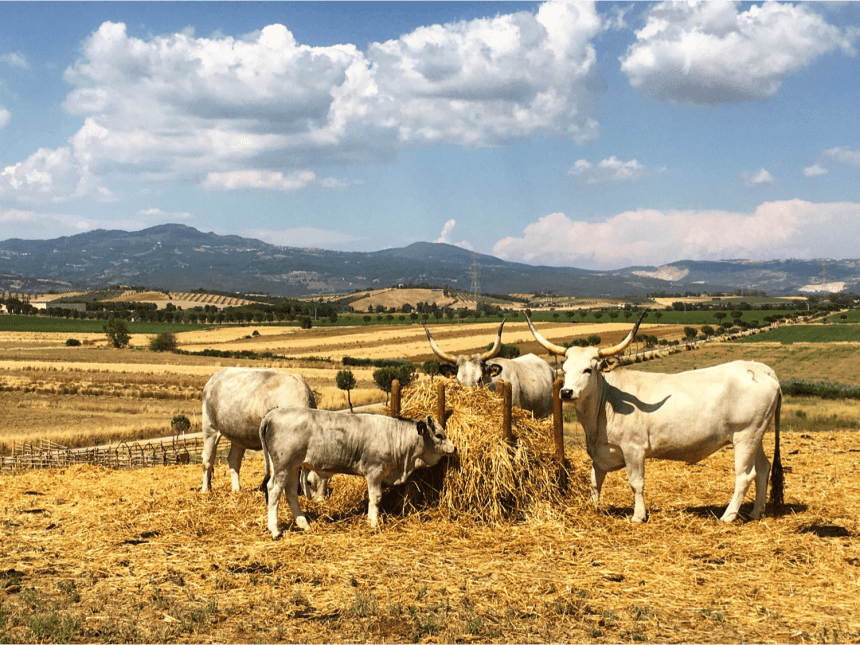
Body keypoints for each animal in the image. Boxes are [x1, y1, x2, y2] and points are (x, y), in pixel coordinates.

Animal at [200, 364, 328, 496]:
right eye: (309, 482)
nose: (322, 499)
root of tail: (215, 377)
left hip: (238, 435)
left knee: (233, 460)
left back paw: (236, 489)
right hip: (210, 427)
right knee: (208, 459)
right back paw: (205, 489)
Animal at [258, 410, 456, 536]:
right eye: (439, 435)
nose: (454, 448)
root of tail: (272, 413)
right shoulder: (375, 471)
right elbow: (376, 498)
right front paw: (373, 523)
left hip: (293, 467)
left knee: (290, 492)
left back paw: (304, 524)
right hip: (283, 465)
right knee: (274, 490)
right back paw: (275, 530)